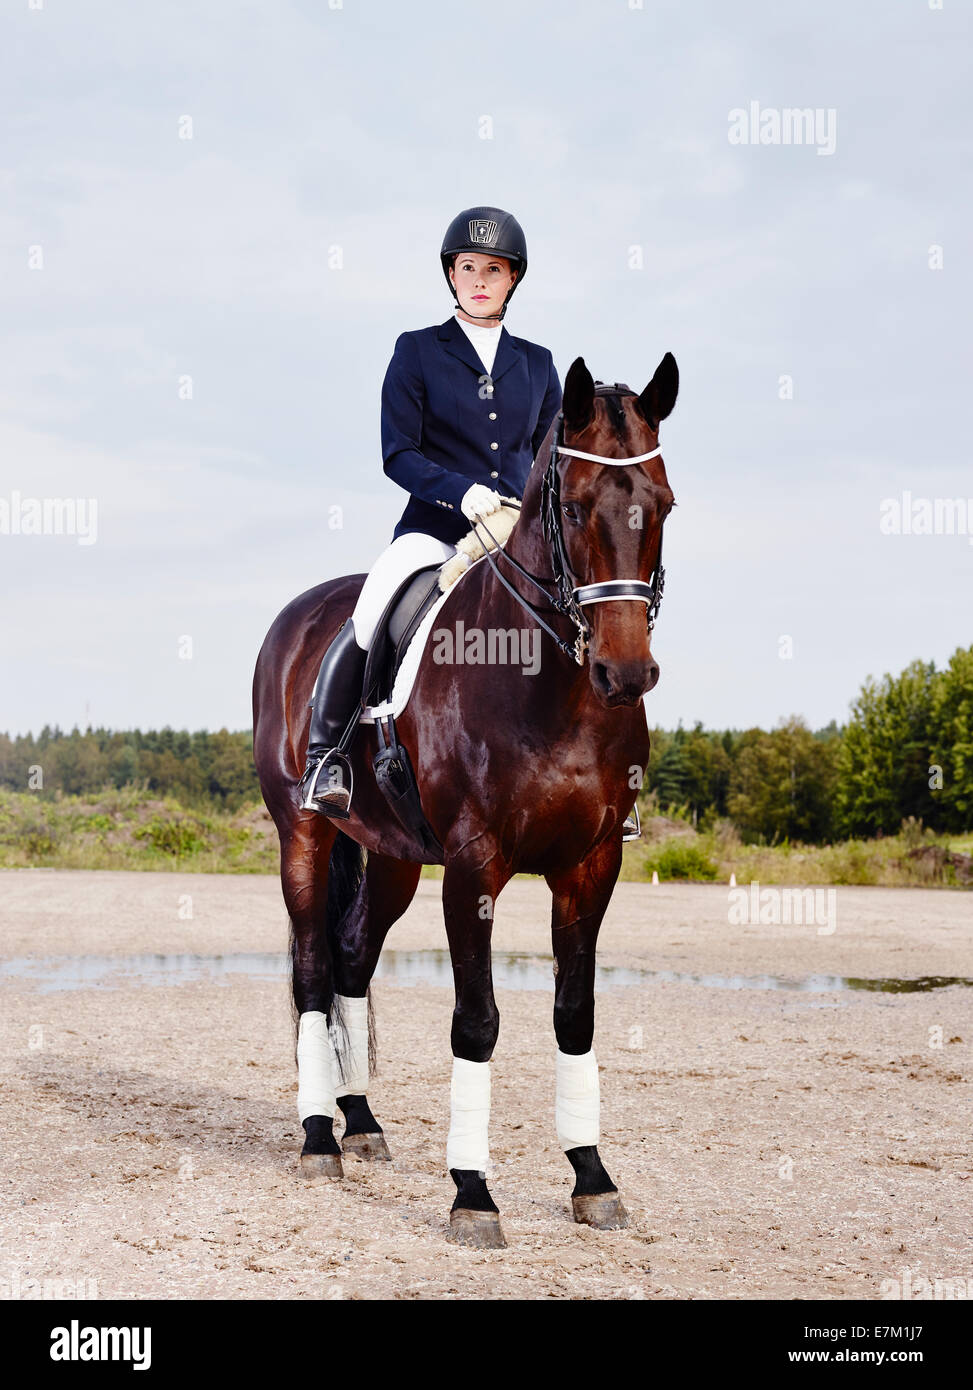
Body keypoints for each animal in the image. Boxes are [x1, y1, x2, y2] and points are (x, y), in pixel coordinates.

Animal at [250, 350, 675, 1251]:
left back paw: (361, 1123)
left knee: (351, 957)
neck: (553, 688)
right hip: (303, 833)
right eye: (575, 507)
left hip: (390, 859)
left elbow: (574, 1014)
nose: (625, 674)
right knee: (312, 969)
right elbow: (476, 1020)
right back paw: (318, 1139)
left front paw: (591, 1178)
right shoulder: (475, 867)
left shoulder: (591, 865)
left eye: (660, 506)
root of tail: (302, 613)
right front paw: (472, 1194)